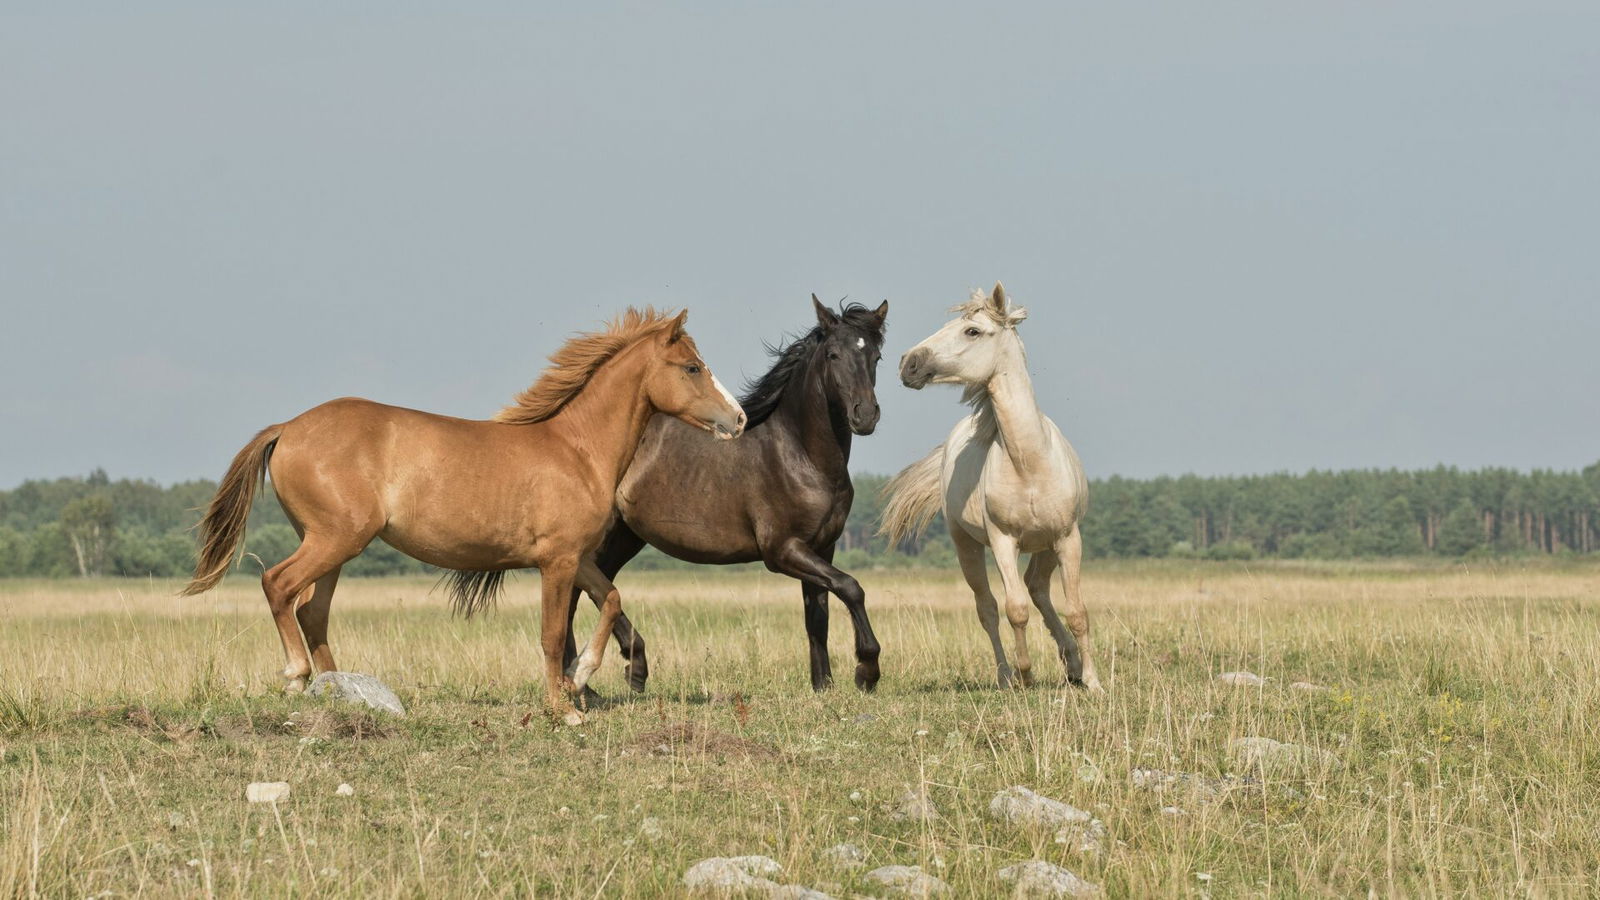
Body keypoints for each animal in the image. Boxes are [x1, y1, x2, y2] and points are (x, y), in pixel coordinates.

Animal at [182, 308, 746, 725]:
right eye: (692, 367)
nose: (738, 419)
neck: (576, 450)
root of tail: (288, 427)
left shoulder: (578, 557)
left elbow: (610, 600)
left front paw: (580, 677)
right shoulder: (557, 562)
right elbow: (550, 634)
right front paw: (563, 708)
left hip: (333, 546)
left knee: (311, 611)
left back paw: (340, 691)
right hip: (334, 539)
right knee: (278, 585)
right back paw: (298, 677)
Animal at [564, 297, 888, 692]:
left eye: (875, 356)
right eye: (833, 354)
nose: (865, 415)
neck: (800, 455)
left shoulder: (821, 547)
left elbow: (818, 616)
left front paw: (822, 685)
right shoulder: (782, 551)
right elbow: (851, 587)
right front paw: (866, 670)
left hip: (625, 536)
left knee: (594, 588)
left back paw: (616, 672)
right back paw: (593, 678)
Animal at [881, 284, 1101, 691]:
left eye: (972, 331)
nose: (908, 363)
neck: (1029, 463)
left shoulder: (1068, 538)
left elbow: (1077, 610)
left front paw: (1093, 682)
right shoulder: (1003, 541)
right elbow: (1014, 610)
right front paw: (1026, 675)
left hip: (1046, 545)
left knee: (1038, 588)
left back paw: (1072, 664)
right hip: (966, 545)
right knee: (989, 608)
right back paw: (1005, 675)